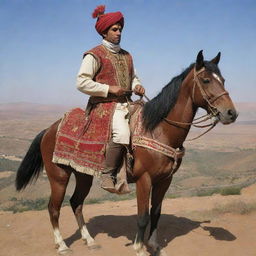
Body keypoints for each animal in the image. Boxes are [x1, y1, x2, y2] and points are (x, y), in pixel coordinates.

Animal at [15, 50, 237, 256]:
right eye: (206, 80)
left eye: (223, 80)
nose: (231, 113)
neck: (158, 129)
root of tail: (49, 129)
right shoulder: (144, 179)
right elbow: (143, 216)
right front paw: (139, 248)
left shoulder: (165, 180)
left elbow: (156, 213)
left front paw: (155, 246)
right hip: (59, 176)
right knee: (54, 208)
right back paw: (62, 245)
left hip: (83, 175)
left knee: (76, 203)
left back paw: (90, 240)